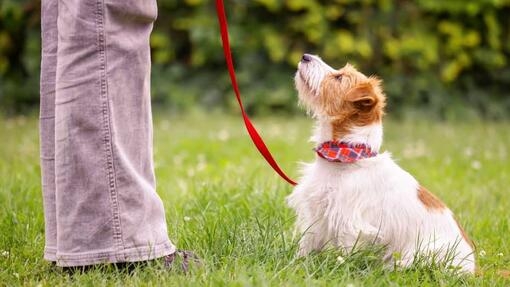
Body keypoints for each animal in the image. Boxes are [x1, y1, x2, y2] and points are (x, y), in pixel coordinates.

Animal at [286, 54, 474, 274]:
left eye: (339, 77)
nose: (305, 56)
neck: (346, 156)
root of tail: (474, 269)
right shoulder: (317, 213)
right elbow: (307, 244)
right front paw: (296, 264)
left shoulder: (350, 223)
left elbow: (344, 254)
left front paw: (339, 271)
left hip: (425, 254)